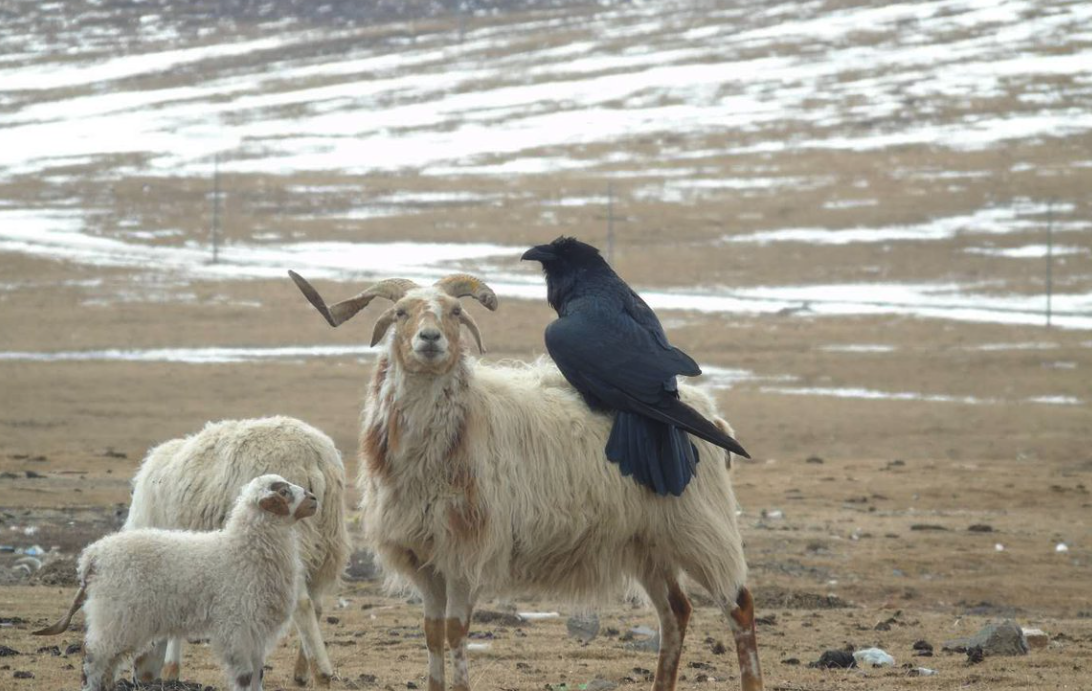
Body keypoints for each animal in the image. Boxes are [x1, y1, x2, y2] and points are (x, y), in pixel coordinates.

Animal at [34, 471, 316, 689]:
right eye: (283, 491)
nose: (314, 499)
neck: (243, 550)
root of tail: (92, 556)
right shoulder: (237, 625)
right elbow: (246, 677)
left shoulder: (255, 629)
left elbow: (258, 674)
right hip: (113, 614)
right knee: (93, 658)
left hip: (121, 619)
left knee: (109, 664)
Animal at [123, 414, 347, 685]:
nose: (139, 680)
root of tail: (314, 453)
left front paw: (171, 669)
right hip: (328, 541)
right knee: (317, 604)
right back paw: (302, 673)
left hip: (300, 539)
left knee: (303, 604)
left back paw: (322, 672)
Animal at [290, 269, 768, 689]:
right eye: (401, 312)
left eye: (455, 312)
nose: (430, 340)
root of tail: (710, 412)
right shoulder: (424, 556)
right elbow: (431, 632)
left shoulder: (465, 552)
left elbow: (456, 631)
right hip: (647, 541)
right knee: (676, 611)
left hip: (701, 526)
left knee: (738, 605)